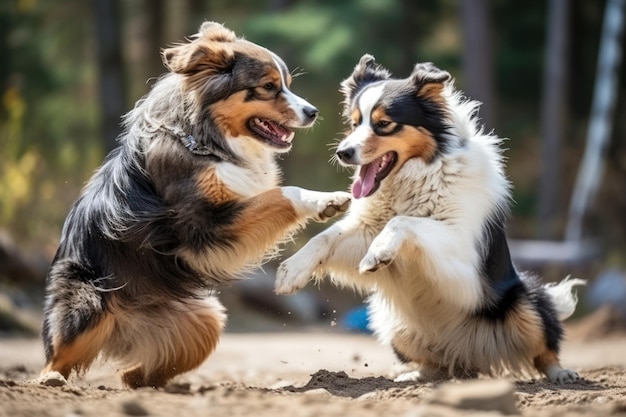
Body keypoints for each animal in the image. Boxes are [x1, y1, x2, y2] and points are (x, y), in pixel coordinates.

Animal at [276, 55, 584, 384]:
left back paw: (561, 372)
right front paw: (292, 271)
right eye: (354, 122)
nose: (342, 152)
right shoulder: (366, 229)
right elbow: (326, 236)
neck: (420, 172)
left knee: (545, 347)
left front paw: (379, 252)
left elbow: (404, 222)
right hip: (394, 324)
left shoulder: (462, 254)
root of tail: (471, 356)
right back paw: (414, 375)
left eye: (384, 124)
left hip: (528, 303)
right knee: (434, 362)